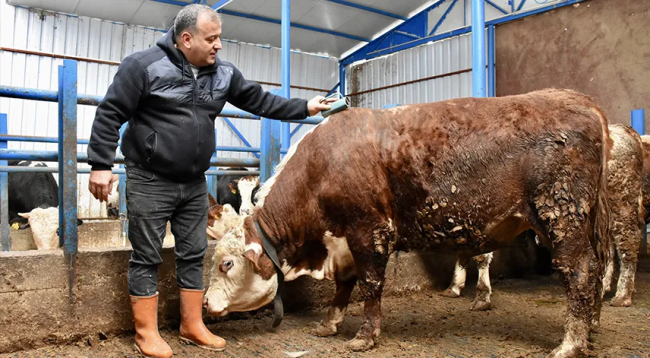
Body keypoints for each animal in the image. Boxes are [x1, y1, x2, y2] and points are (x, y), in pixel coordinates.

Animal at [201, 88, 608, 356]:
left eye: (226, 264)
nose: (204, 304)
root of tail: (581, 100)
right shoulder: (344, 240)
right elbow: (344, 285)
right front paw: (329, 324)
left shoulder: (369, 229)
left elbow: (370, 284)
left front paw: (364, 336)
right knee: (597, 266)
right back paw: (591, 328)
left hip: (562, 214)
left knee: (580, 270)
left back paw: (571, 343)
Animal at [440, 123, 644, 308]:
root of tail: (624, 130)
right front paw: (454, 286)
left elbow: (480, 256)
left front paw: (482, 296)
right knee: (607, 251)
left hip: (621, 205)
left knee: (628, 244)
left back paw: (622, 296)